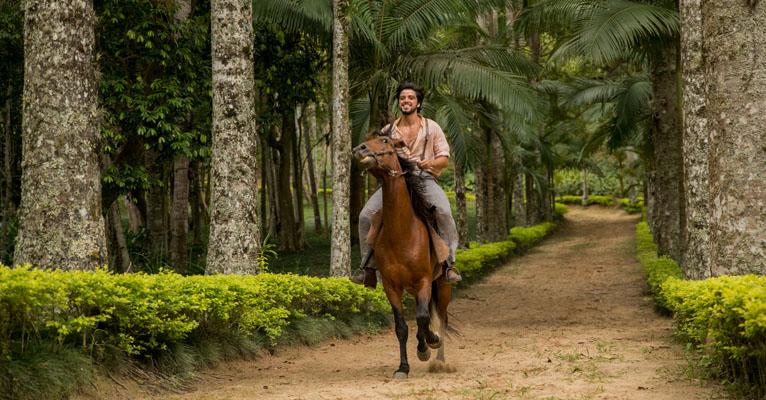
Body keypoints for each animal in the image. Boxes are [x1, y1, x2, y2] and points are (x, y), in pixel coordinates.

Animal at [356, 133, 456, 380]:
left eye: (385, 141)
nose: (359, 149)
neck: (402, 233)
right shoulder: (391, 286)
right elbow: (402, 327)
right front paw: (403, 367)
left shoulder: (423, 281)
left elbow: (422, 318)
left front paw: (428, 345)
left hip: (442, 286)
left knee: (441, 318)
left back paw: (439, 359)